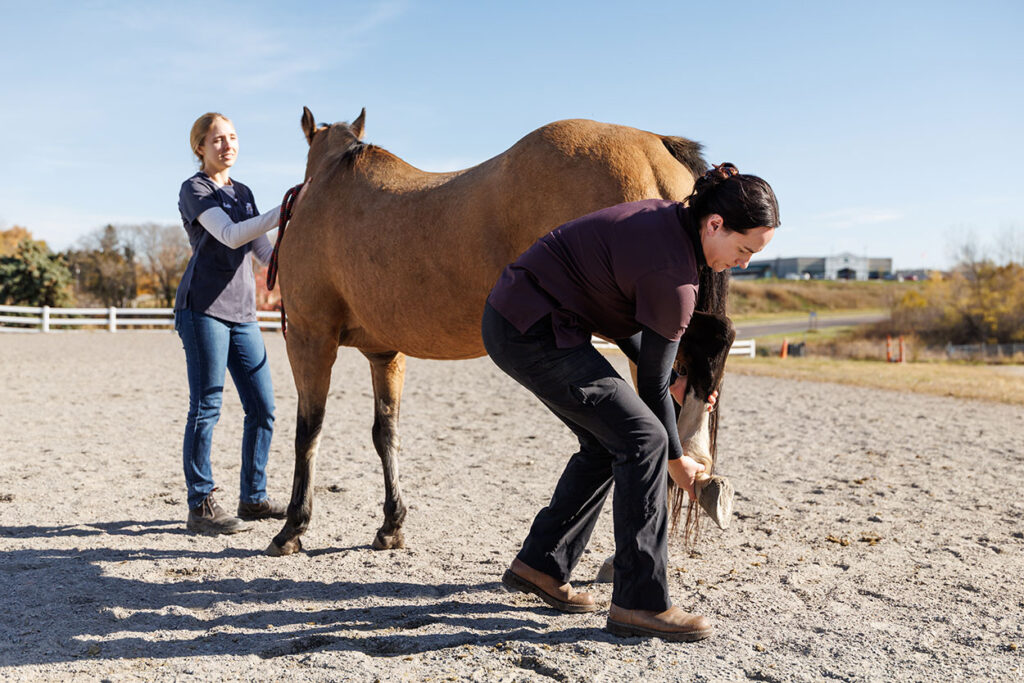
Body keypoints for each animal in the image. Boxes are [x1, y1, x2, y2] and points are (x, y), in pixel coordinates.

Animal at [268, 107, 731, 557]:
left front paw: (292, 528)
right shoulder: (386, 354)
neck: (331, 190)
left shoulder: (310, 339)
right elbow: (386, 435)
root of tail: (653, 148)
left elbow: (308, 431)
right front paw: (390, 526)